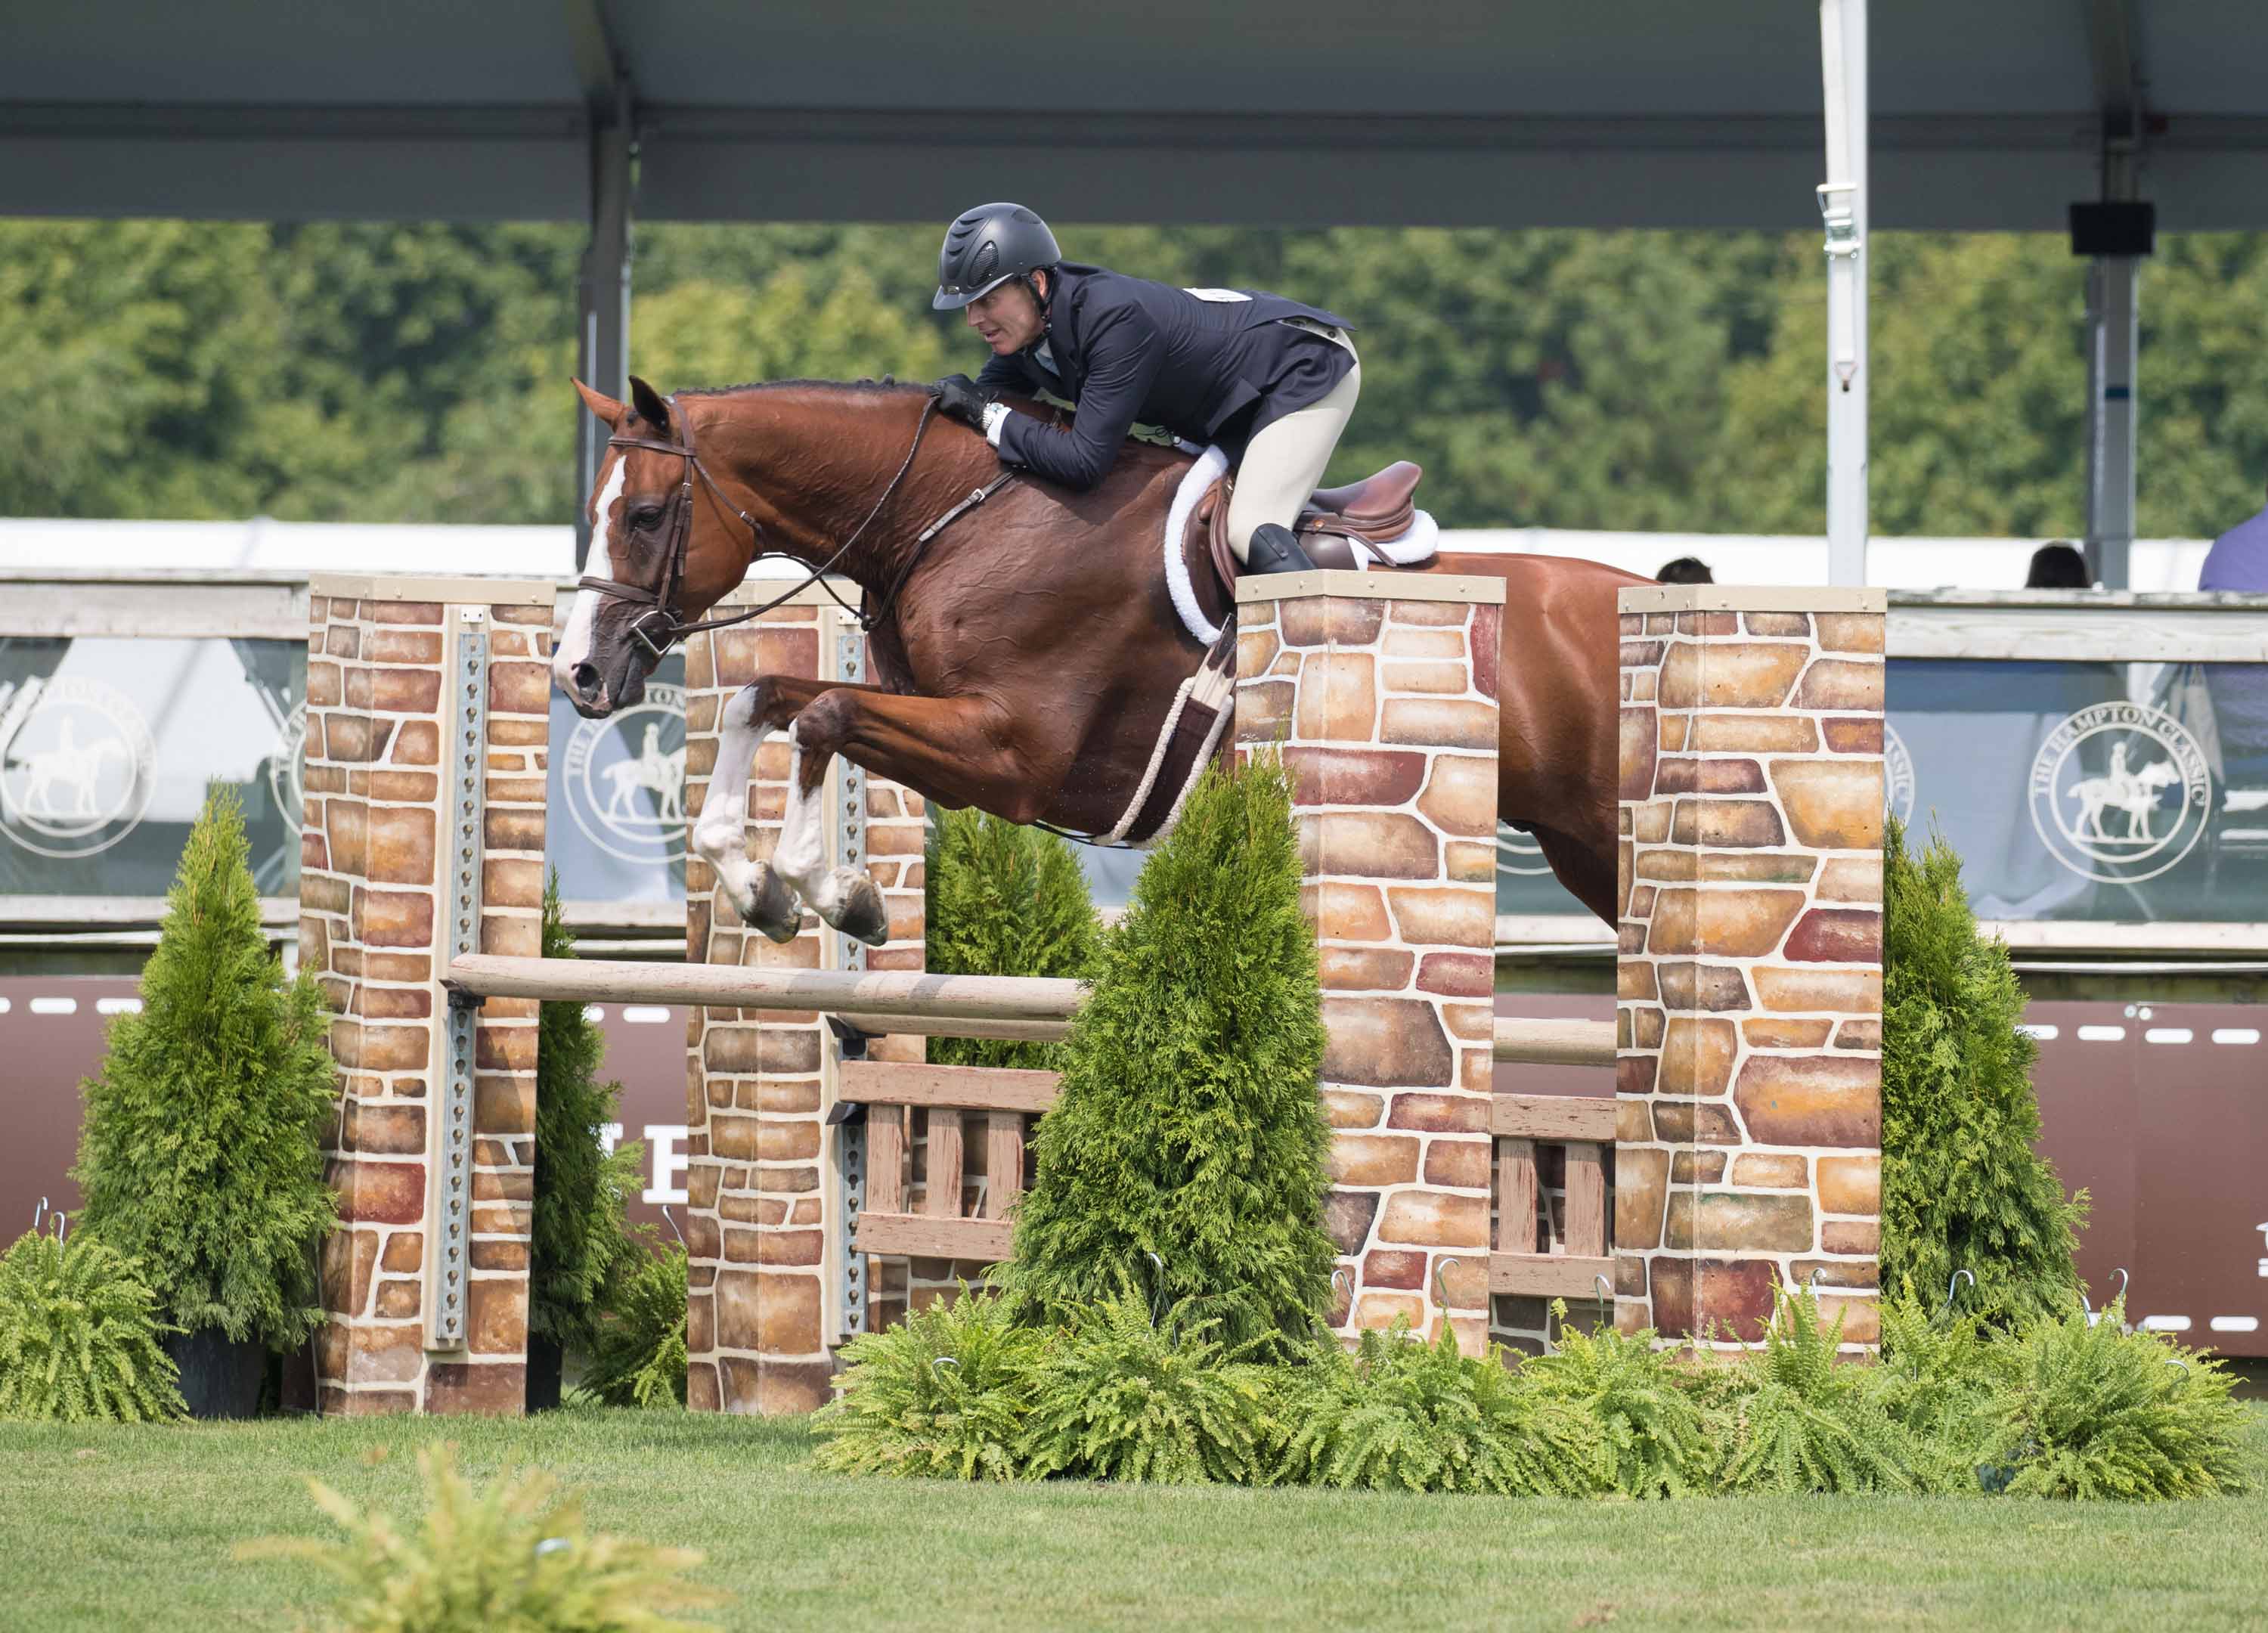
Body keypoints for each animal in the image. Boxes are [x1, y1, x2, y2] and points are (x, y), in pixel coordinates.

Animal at [556, 374, 1642, 944]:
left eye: (644, 515)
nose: (579, 674)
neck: (950, 516)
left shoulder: (1012, 756)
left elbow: (821, 715)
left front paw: (830, 891)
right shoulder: (942, 724)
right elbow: (763, 695)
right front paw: (755, 887)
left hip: (1597, 829)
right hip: (1580, 845)